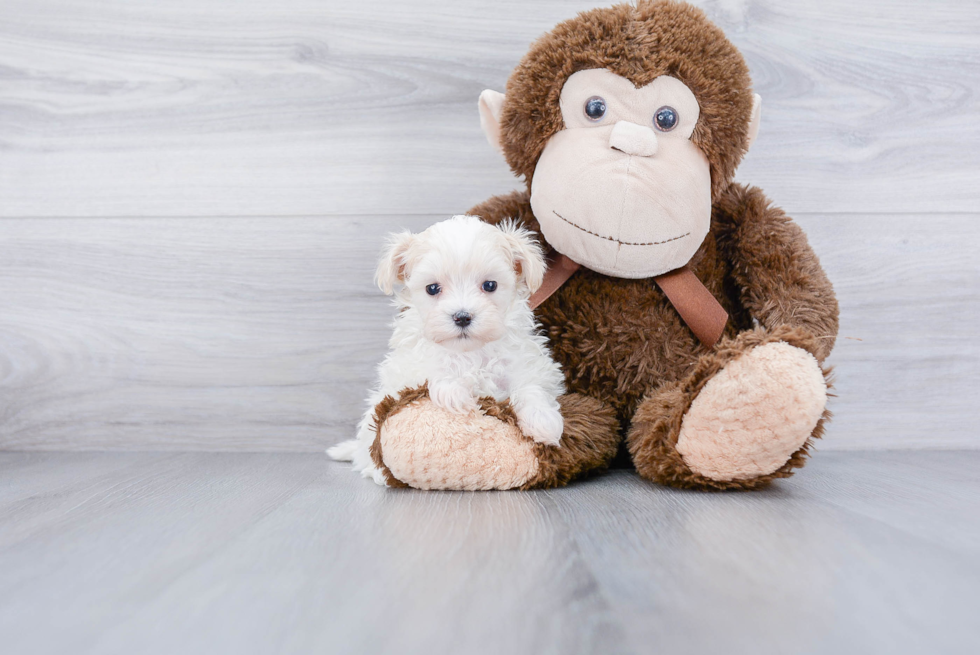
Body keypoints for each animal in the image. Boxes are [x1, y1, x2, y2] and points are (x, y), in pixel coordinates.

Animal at [328, 215, 564, 486]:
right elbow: (434, 367)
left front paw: (543, 421)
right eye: (432, 288)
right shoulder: (408, 367)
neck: (469, 351)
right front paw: (453, 390)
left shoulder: (526, 363)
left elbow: (531, 386)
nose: (462, 316)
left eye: (490, 285)